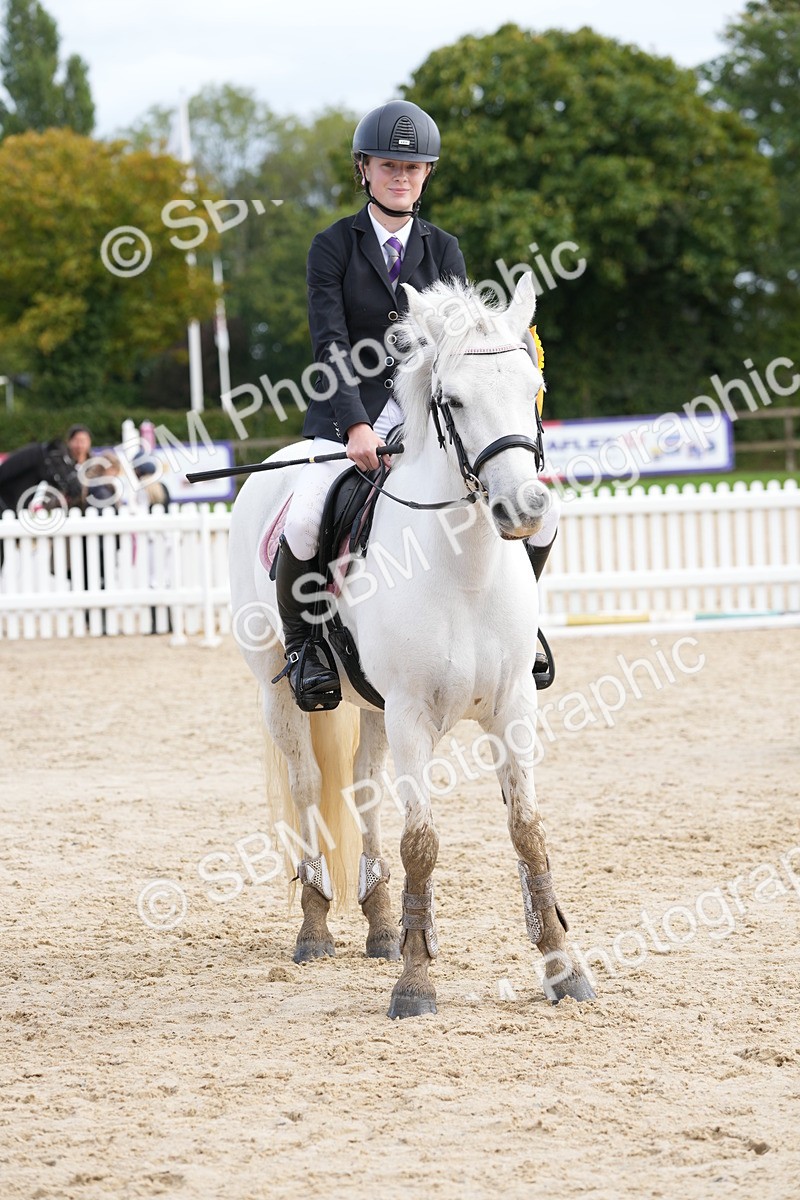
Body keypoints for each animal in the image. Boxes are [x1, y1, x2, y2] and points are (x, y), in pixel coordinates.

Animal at [229, 272, 595, 1018]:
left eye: (531, 387)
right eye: (452, 400)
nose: (525, 509)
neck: (466, 570)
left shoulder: (512, 707)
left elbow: (528, 832)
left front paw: (561, 967)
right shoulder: (411, 713)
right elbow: (422, 841)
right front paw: (416, 982)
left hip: (370, 707)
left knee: (363, 789)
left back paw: (378, 924)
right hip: (280, 690)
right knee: (308, 785)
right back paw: (316, 925)